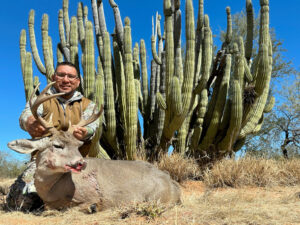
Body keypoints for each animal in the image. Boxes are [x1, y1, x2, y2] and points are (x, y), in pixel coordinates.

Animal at [7, 82, 180, 211]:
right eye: (57, 145)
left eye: (78, 145)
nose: (81, 163)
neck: (51, 190)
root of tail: (173, 184)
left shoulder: (92, 196)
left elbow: (78, 206)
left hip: (156, 197)